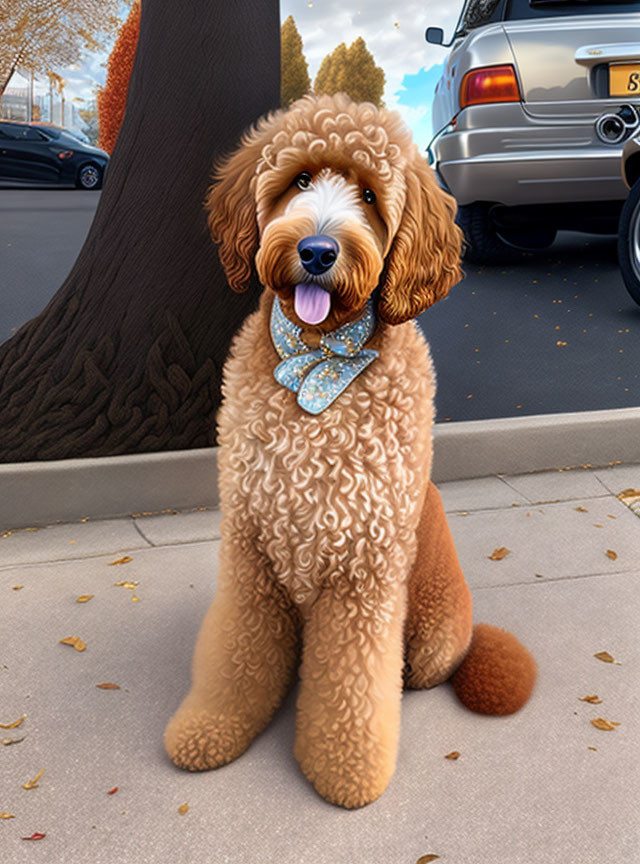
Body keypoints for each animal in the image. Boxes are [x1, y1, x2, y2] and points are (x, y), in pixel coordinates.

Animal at [165, 94, 536, 808]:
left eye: (369, 194)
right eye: (300, 180)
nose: (316, 250)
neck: (318, 363)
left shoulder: (363, 571)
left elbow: (352, 683)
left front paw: (347, 769)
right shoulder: (250, 550)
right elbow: (237, 652)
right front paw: (211, 727)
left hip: (435, 633)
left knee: (415, 672)